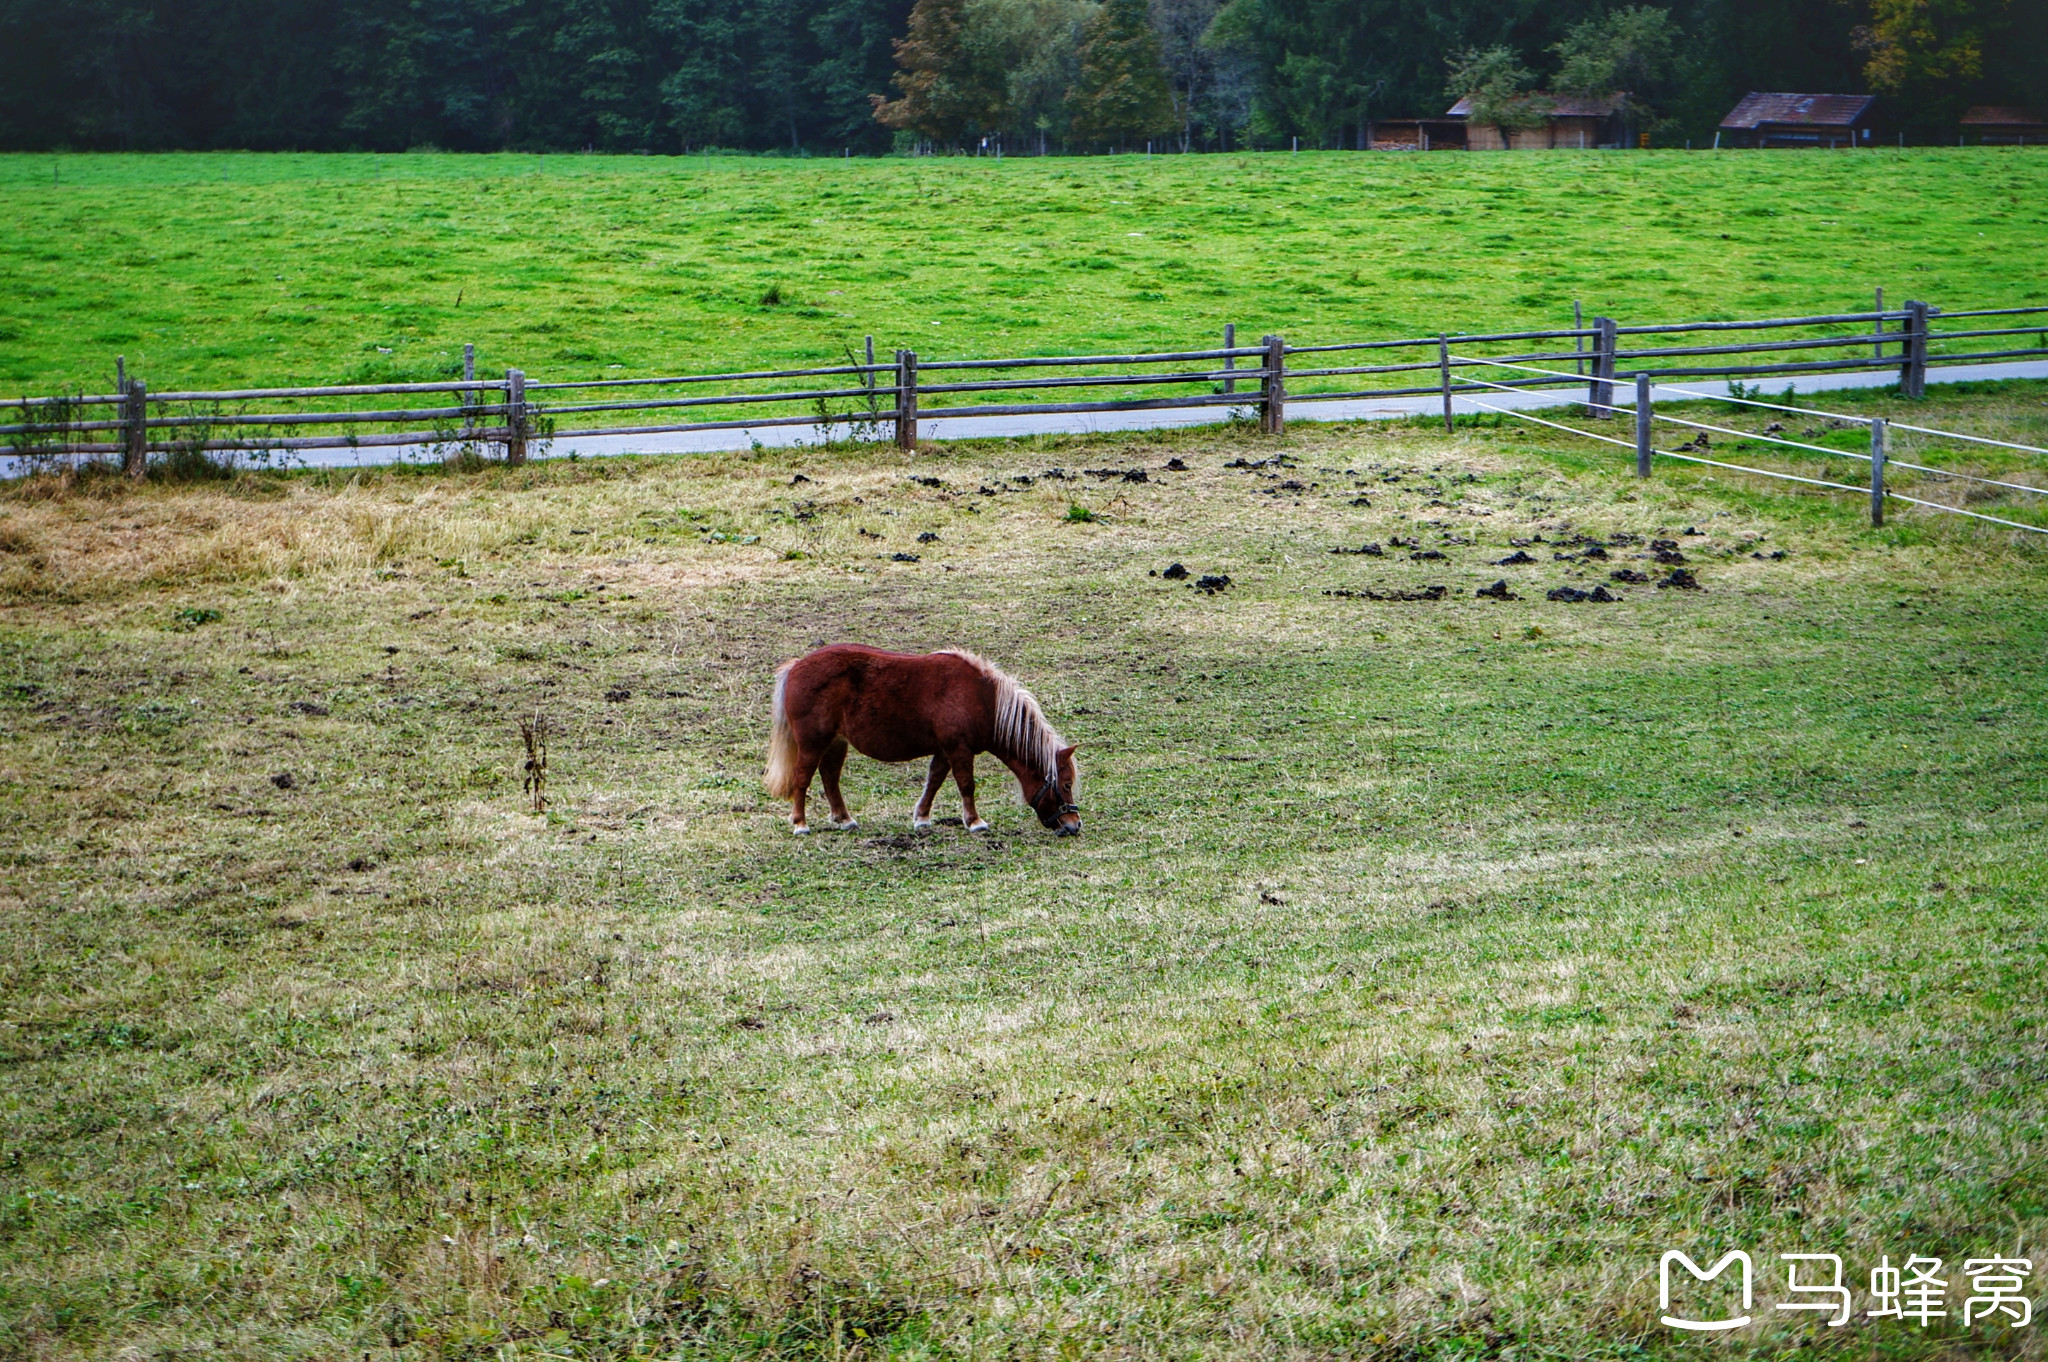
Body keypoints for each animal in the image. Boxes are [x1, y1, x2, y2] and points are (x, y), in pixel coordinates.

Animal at [770, 643, 1089, 835]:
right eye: (1066, 784)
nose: (1074, 824)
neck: (981, 698)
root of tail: (796, 666)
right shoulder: (959, 749)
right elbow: (966, 785)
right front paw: (975, 822)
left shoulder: (945, 750)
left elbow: (934, 781)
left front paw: (922, 817)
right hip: (812, 743)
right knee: (802, 778)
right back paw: (800, 823)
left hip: (836, 743)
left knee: (830, 778)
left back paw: (844, 818)